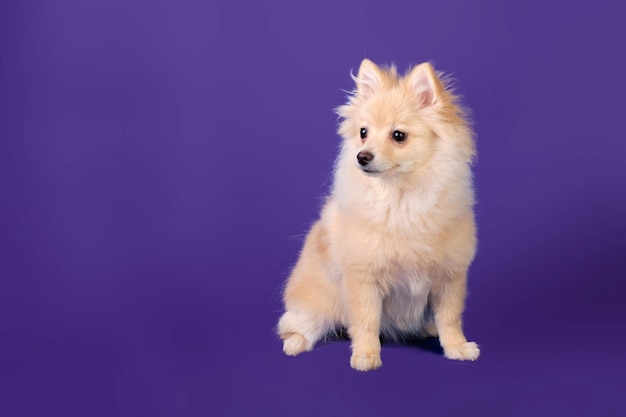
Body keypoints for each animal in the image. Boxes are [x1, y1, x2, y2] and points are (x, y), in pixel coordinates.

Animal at [276, 58, 476, 370]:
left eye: (398, 136)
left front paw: (456, 347)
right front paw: (366, 355)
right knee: (298, 326)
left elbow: (450, 318)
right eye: (363, 133)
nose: (362, 156)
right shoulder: (363, 279)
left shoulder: (449, 277)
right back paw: (296, 344)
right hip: (315, 304)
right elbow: (366, 321)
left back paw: (427, 328)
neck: (401, 198)